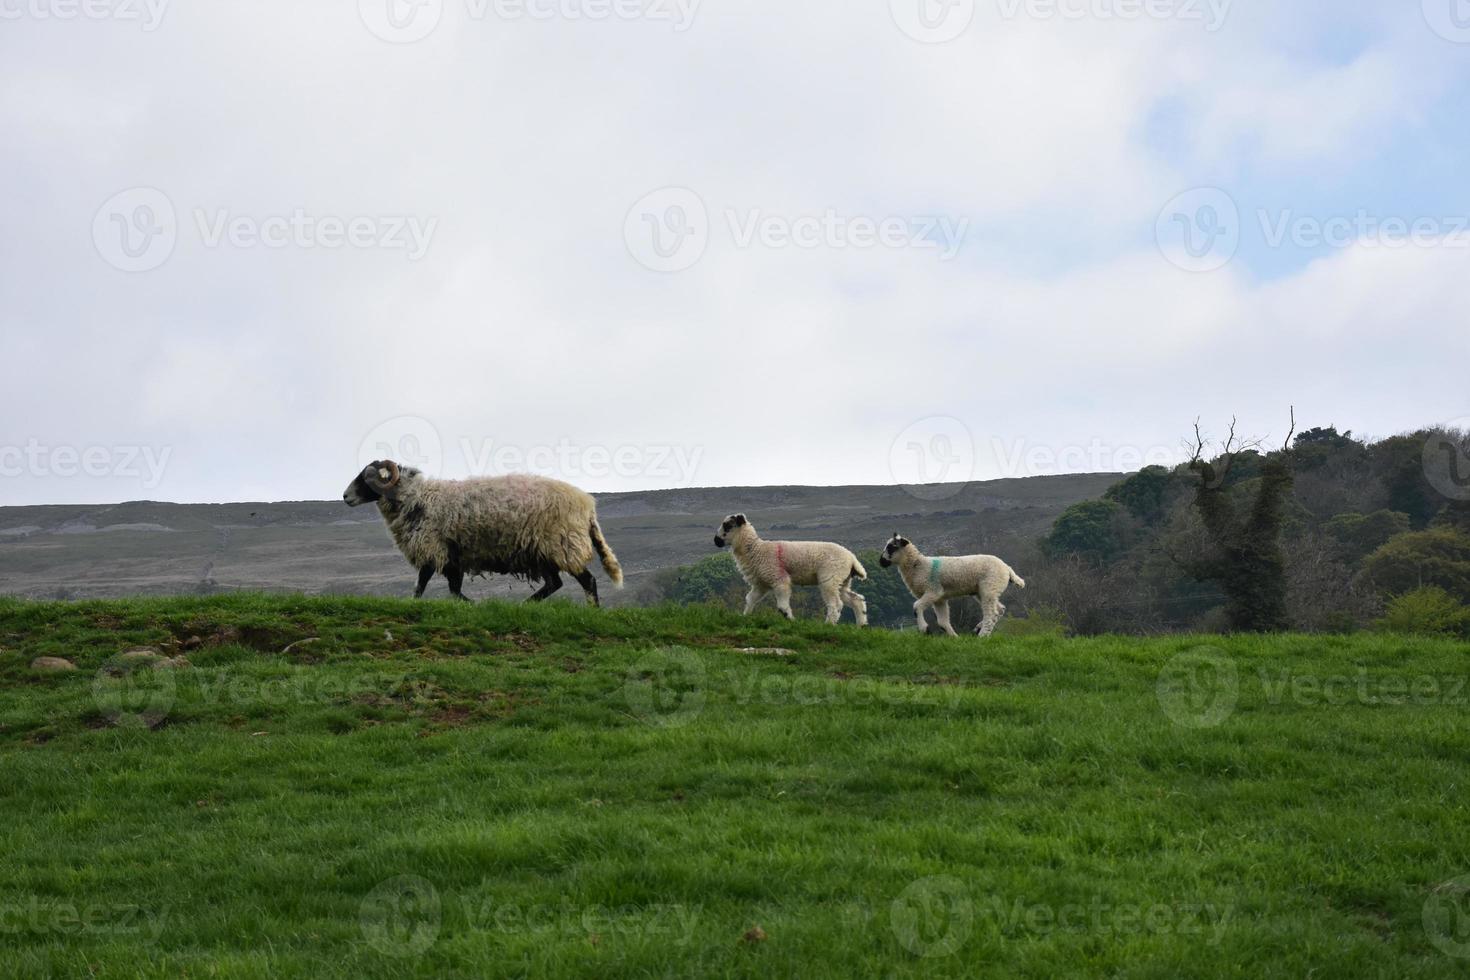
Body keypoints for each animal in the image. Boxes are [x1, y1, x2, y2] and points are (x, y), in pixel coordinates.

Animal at [342, 461, 620, 605]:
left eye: (368, 478)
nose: (345, 496)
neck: (416, 498)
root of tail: (587, 505)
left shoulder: (432, 547)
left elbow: (420, 585)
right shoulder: (453, 557)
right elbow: (454, 590)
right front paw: (472, 605)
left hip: (562, 544)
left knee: (587, 581)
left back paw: (592, 611)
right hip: (541, 550)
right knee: (554, 583)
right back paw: (525, 605)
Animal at [708, 517, 858, 625]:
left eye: (727, 525)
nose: (716, 540)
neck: (756, 550)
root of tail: (851, 558)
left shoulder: (779, 579)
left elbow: (782, 606)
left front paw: (791, 620)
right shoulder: (761, 584)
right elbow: (750, 599)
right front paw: (745, 616)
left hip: (830, 579)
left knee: (836, 604)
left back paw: (828, 624)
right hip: (842, 581)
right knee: (856, 599)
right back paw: (860, 625)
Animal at [876, 531, 1029, 640]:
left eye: (891, 547)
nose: (881, 562)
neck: (918, 565)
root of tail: (1007, 568)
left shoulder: (933, 591)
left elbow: (916, 607)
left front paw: (925, 629)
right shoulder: (939, 598)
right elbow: (942, 622)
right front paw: (955, 637)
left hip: (989, 587)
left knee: (992, 613)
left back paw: (982, 636)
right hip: (984, 591)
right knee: (1000, 609)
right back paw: (977, 629)